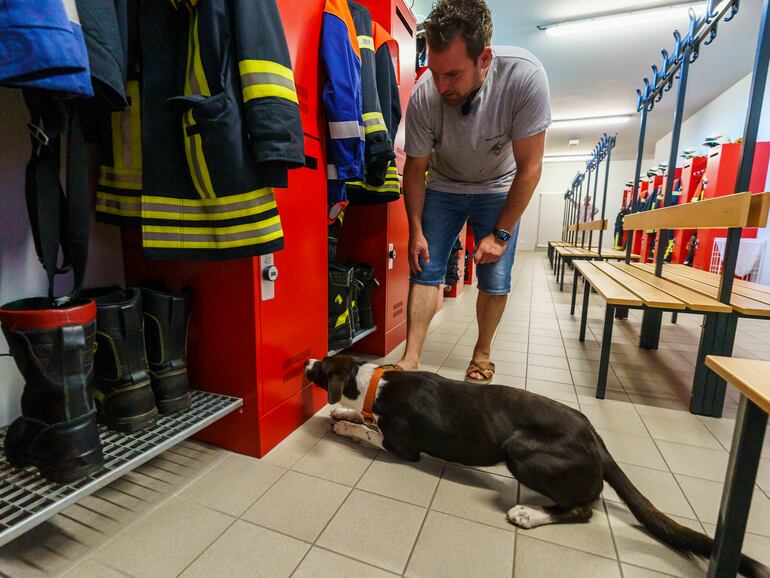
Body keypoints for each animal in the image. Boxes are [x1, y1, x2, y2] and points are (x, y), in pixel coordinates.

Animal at [304, 356, 764, 576]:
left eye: (320, 366)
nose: (305, 361)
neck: (374, 384)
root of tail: (593, 437)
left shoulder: (402, 447)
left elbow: (368, 432)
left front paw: (345, 427)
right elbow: (360, 416)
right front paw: (343, 414)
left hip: (520, 450)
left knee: (584, 508)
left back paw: (529, 513)